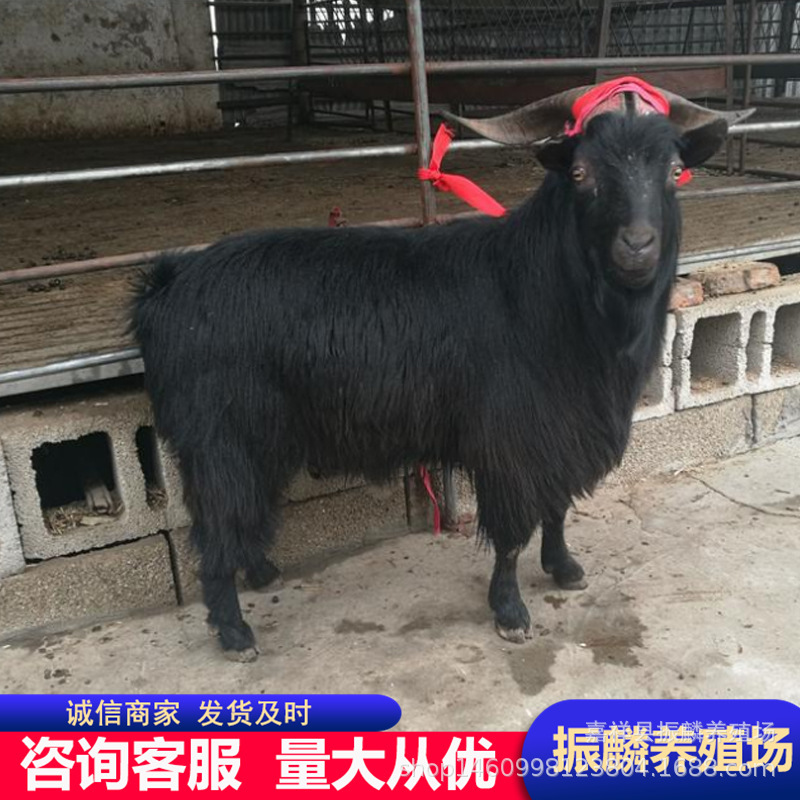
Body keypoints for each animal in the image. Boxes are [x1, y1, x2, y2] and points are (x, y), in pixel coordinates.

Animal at [132, 82, 751, 661]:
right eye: (581, 172)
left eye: (674, 171)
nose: (637, 246)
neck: (544, 293)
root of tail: (166, 289)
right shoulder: (512, 442)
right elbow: (511, 534)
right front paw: (510, 612)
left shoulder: (560, 431)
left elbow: (555, 509)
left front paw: (564, 568)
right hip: (219, 439)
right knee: (216, 529)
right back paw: (235, 631)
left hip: (258, 440)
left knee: (248, 509)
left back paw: (260, 572)